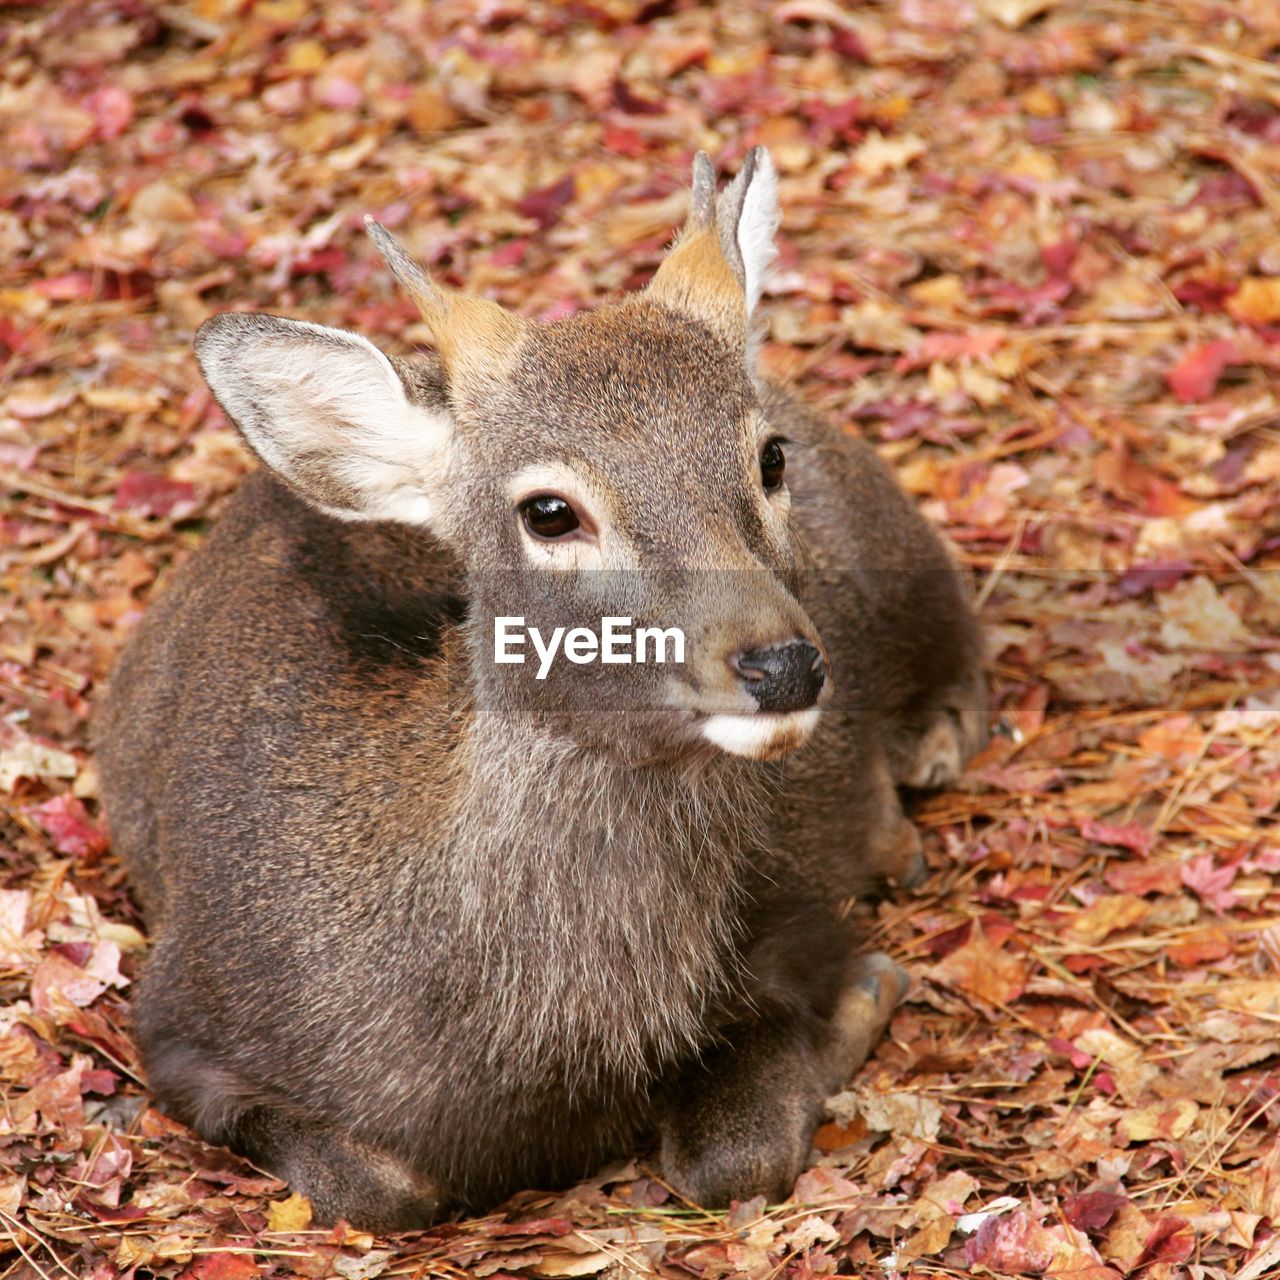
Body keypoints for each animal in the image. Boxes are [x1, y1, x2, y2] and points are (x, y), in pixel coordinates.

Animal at [94, 149, 983, 1228]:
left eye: (768, 457)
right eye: (549, 510)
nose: (781, 664)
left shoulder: (788, 922)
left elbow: (735, 1156)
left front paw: (865, 987)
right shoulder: (177, 1019)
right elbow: (380, 1187)